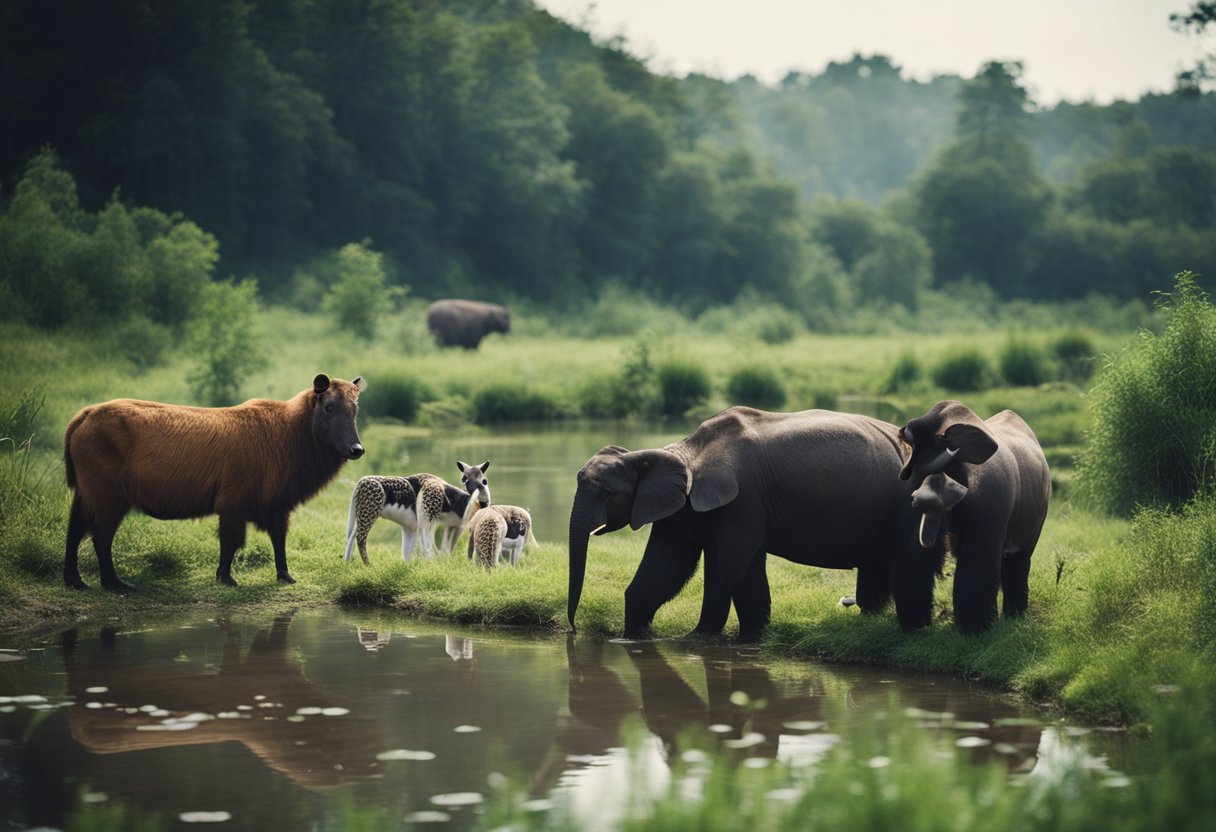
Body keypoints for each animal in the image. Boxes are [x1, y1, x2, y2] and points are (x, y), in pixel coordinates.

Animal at [564, 406, 943, 642]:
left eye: (606, 492)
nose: (572, 629)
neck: (682, 452)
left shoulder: (744, 500)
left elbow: (732, 566)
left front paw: (714, 638)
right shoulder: (681, 512)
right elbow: (664, 571)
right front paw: (635, 639)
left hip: (909, 501)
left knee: (909, 563)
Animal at [899, 398, 1050, 632]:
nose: (920, 499)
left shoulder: (990, 502)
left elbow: (977, 568)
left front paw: (977, 632)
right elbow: (914, 556)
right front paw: (916, 629)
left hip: (1038, 520)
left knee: (1018, 562)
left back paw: (1014, 618)